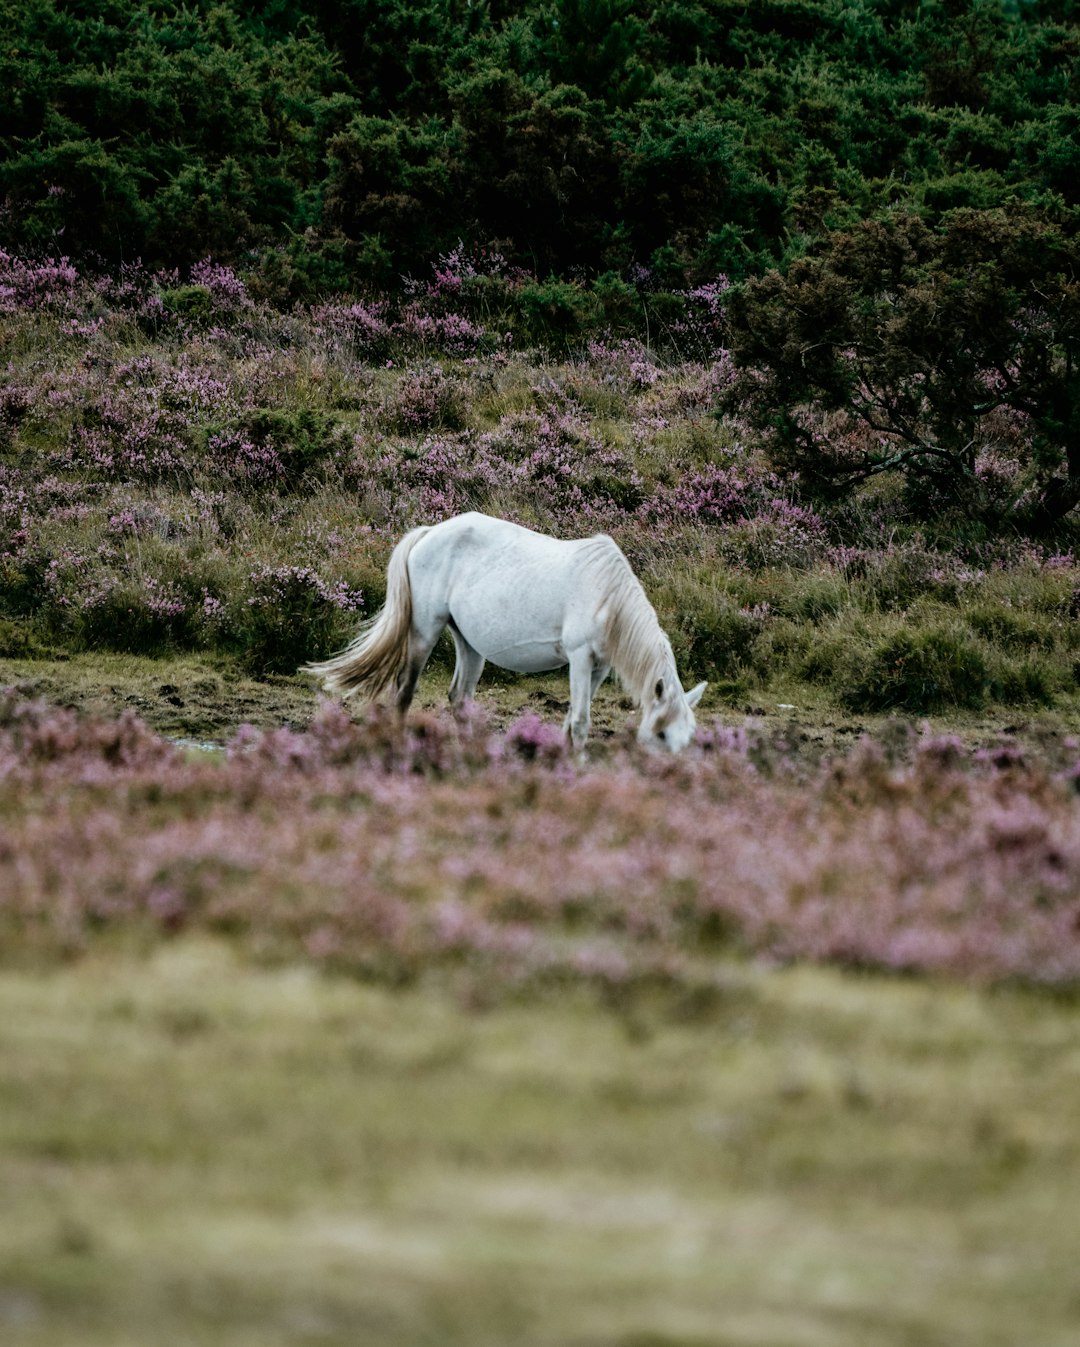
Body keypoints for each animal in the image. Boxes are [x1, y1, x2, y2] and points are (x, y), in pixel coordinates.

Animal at [302, 509, 705, 754]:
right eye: (662, 733)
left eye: (686, 738)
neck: (605, 593)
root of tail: (429, 532)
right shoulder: (579, 658)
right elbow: (579, 721)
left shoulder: (599, 667)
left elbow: (571, 719)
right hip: (424, 631)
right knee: (404, 692)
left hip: (469, 643)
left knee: (459, 698)